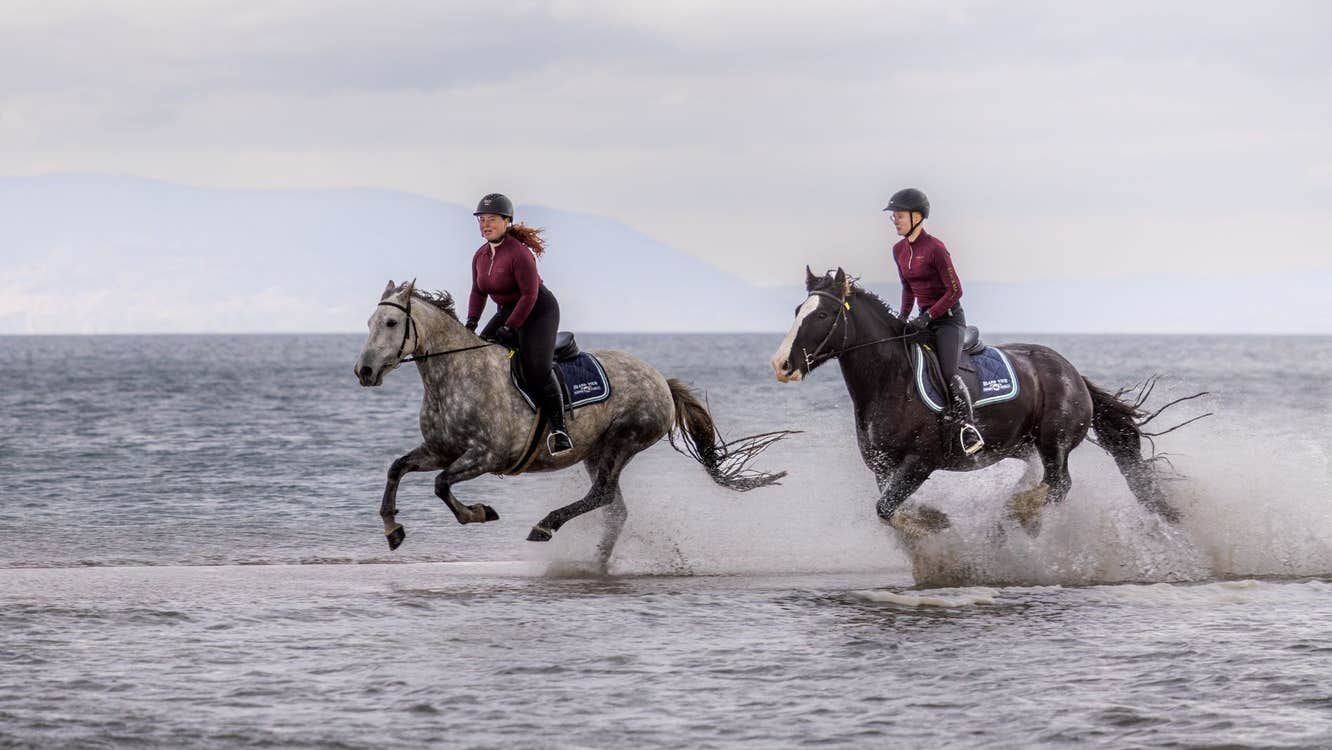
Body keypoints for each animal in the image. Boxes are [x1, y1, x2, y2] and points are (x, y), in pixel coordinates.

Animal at [354, 280, 794, 568]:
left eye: (391, 324)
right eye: (369, 323)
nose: (364, 371)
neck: (457, 374)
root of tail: (660, 381)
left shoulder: (484, 456)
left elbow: (441, 484)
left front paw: (478, 513)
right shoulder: (440, 450)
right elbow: (397, 468)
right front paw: (393, 529)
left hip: (622, 442)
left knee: (601, 495)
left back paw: (545, 527)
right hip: (596, 452)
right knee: (614, 509)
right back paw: (595, 562)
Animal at [770, 267, 1199, 538]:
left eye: (823, 313)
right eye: (797, 311)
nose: (782, 364)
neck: (890, 381)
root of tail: (1072, 371)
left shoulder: (920, 461)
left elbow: (886, 509)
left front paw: (936, 526)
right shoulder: (883, 467)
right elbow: (889, 508)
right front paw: (934, 522)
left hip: (1054, 441)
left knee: (1059, 482)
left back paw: (1018, 515)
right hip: (1020, 446)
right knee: (1041, 479)